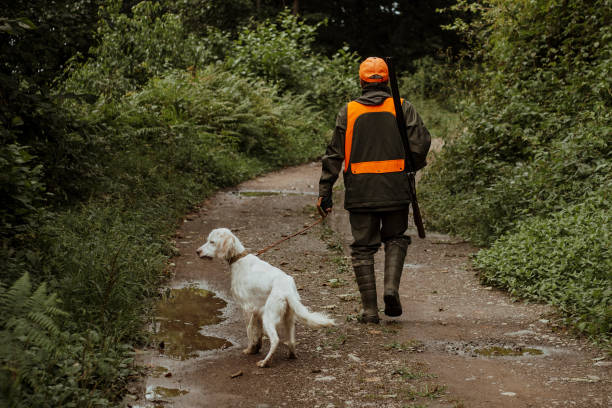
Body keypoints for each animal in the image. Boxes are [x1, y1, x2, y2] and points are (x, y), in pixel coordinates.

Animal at [196, 228, 334, 368]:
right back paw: (291, 355)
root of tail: (286, 288)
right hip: (288, 318)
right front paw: (255, 348)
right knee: (291, 341)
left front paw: (250, 350)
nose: (197, 251)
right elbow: (257, 333)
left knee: (275, 340)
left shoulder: (247, 309)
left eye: (212, 242)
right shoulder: (257, 311)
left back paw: (265, 362)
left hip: (268, 316)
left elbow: (250, 332)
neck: (239, 259)